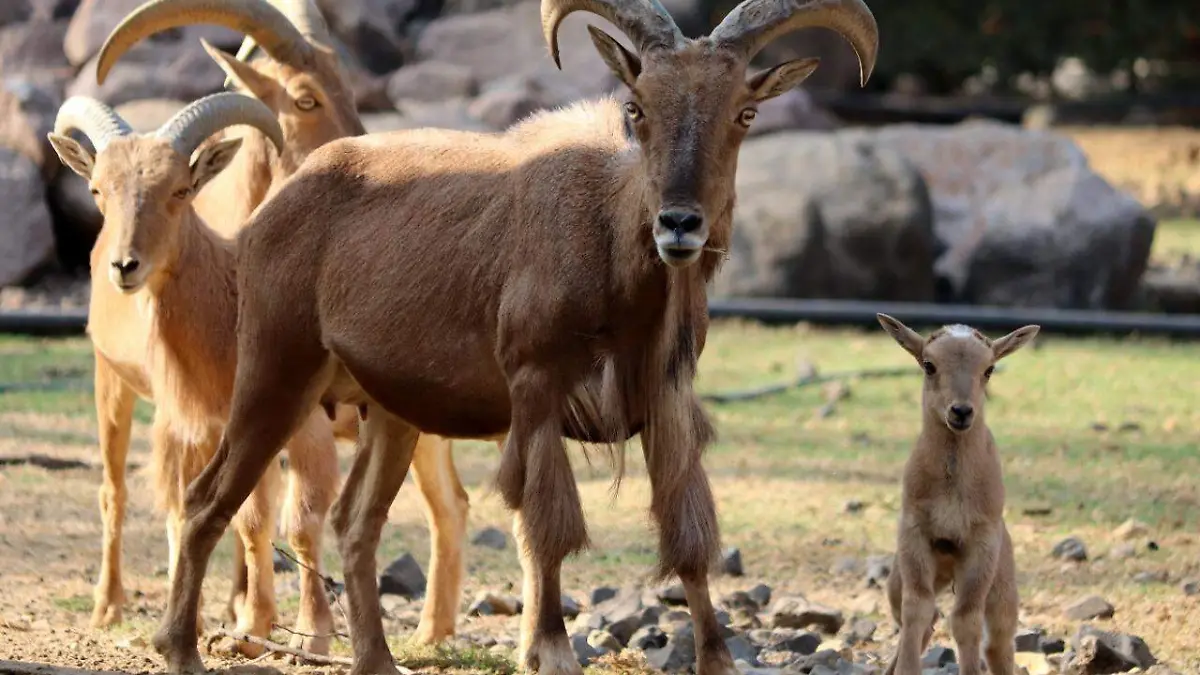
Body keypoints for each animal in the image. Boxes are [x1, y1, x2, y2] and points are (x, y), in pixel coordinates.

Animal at [154, 0, 878, 667]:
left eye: (743, 113)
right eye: (638, 107)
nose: (679, 224)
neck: (610, 249)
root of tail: (270, 211)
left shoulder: (665, 399)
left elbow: (687, 532)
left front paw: (716, 657)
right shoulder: (535, 386)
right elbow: (548, 524)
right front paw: (551, 651)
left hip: (390, 411)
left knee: (356, 521)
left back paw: (378, 660)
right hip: (276, 371)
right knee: (206, 499)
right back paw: (182, 648)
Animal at [878, 312, 1036, 672]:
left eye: (989, 369)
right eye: (928, 364)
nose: (961, 412)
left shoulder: (981, 545)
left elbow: (966, 620)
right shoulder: (915, 534)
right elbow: (916, 610)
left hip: (1003, 587)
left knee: (999, 644)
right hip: (899, 577)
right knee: (925, 618)